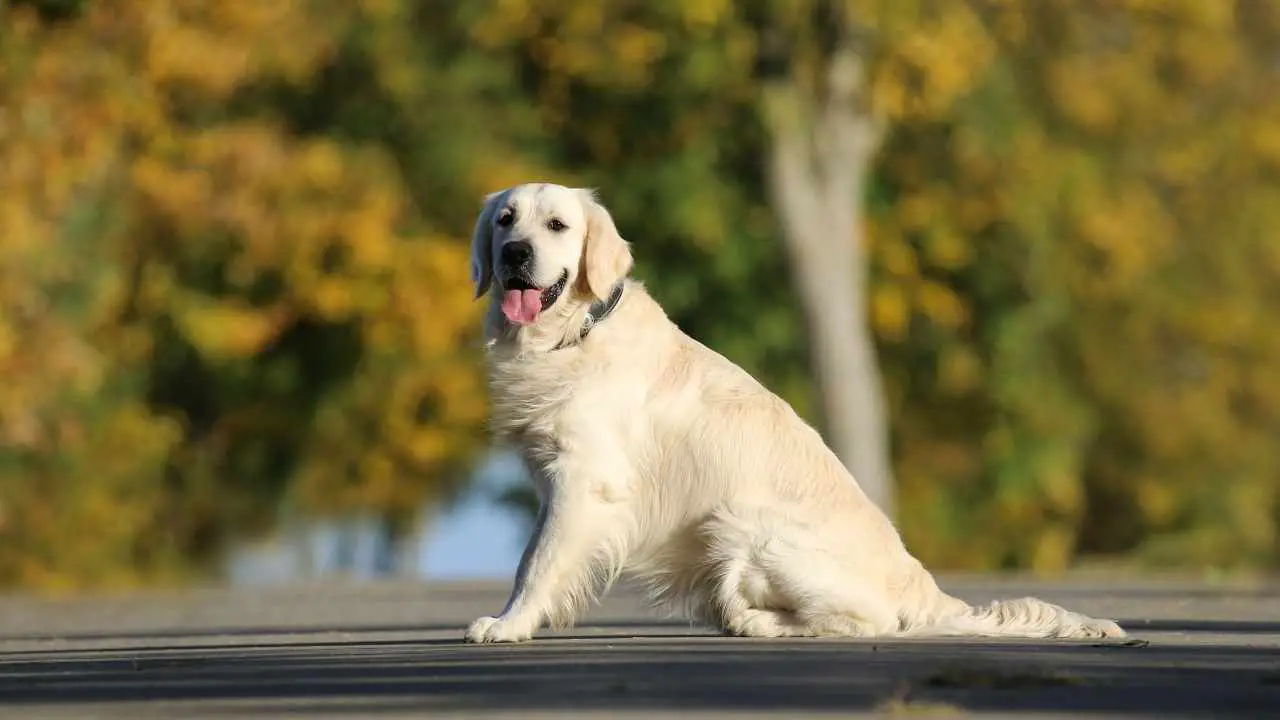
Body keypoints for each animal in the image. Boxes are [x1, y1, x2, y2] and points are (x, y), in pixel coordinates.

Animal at [465, 181, 1126, 640]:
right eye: (505, 220)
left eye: (557, 225)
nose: (516, 253)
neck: (573, 334)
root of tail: (924, 586)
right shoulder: (557, 483)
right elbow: (531, 555)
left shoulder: (584, 480)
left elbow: (539, 562)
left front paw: (508, 625)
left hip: (741, 524)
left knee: (866, 620)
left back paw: (753, 621)